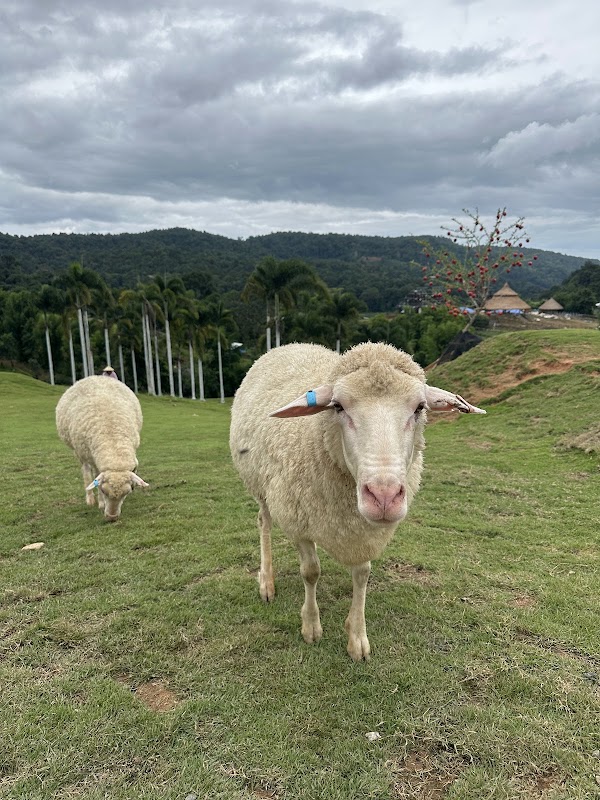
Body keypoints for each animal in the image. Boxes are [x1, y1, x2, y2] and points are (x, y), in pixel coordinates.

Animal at [56, 376, 148, 521]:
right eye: (104, 491)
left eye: (126, 493)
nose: (112, 517)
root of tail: (95, 377)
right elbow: (95, 478)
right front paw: (100, 502)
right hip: (80, 451)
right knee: (86, 472)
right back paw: (90, 499)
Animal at [229, 342, 485, 661]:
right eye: (338, 406)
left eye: (420, 408)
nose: (384, 497)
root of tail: (292, 345)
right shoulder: (297, 519)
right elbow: (310, 572)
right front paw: (311, 627)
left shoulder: (362, 529)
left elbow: (362, 575)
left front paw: (356, 637)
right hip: (259, 484)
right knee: (263, 521)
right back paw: (267, 583)